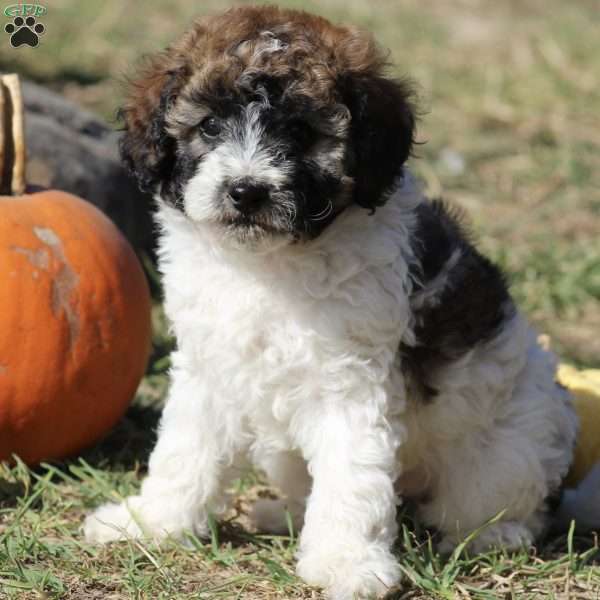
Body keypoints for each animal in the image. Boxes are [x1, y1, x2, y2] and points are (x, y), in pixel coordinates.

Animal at [84, 5, 580, 600]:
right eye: (209, 126)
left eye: (300, 131)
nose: (246, 190)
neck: (269, 264)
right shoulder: (208, 365)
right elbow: (184, 448)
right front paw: (151, 523)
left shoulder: (351, 381)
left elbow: (352, 475)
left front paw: (347, 563)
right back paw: (281, 515)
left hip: (511, 446)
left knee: (503, 502)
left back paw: (493, 534)